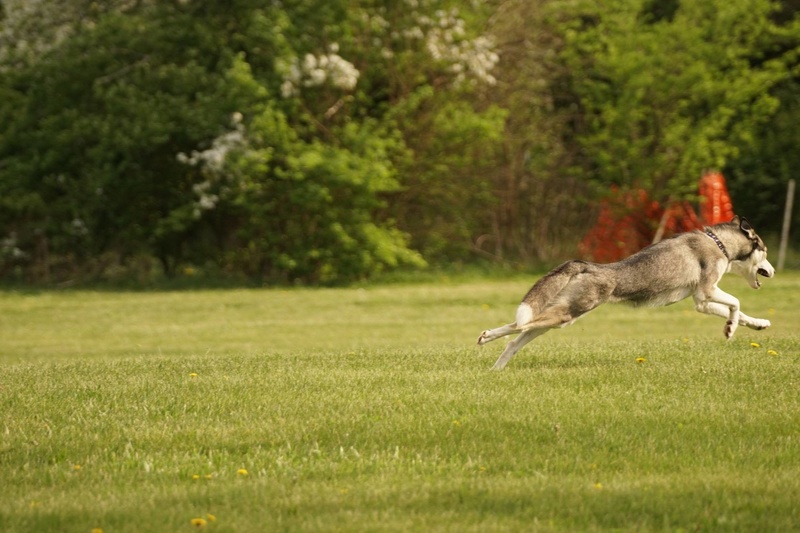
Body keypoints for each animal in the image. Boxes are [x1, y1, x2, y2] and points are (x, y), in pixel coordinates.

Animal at [476, 216, 776, 370]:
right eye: (765, 251)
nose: (773, 272)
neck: (719, 244)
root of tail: (588, 265)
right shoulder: (707, 291)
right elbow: (736, 303)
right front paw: (730, 329)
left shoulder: (700, 302)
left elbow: (740, 311)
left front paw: (757, 324)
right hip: (565, 315)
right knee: (516, 326)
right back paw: (485, 337)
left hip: (560, 318)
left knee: (515, 341)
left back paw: (496, 369)